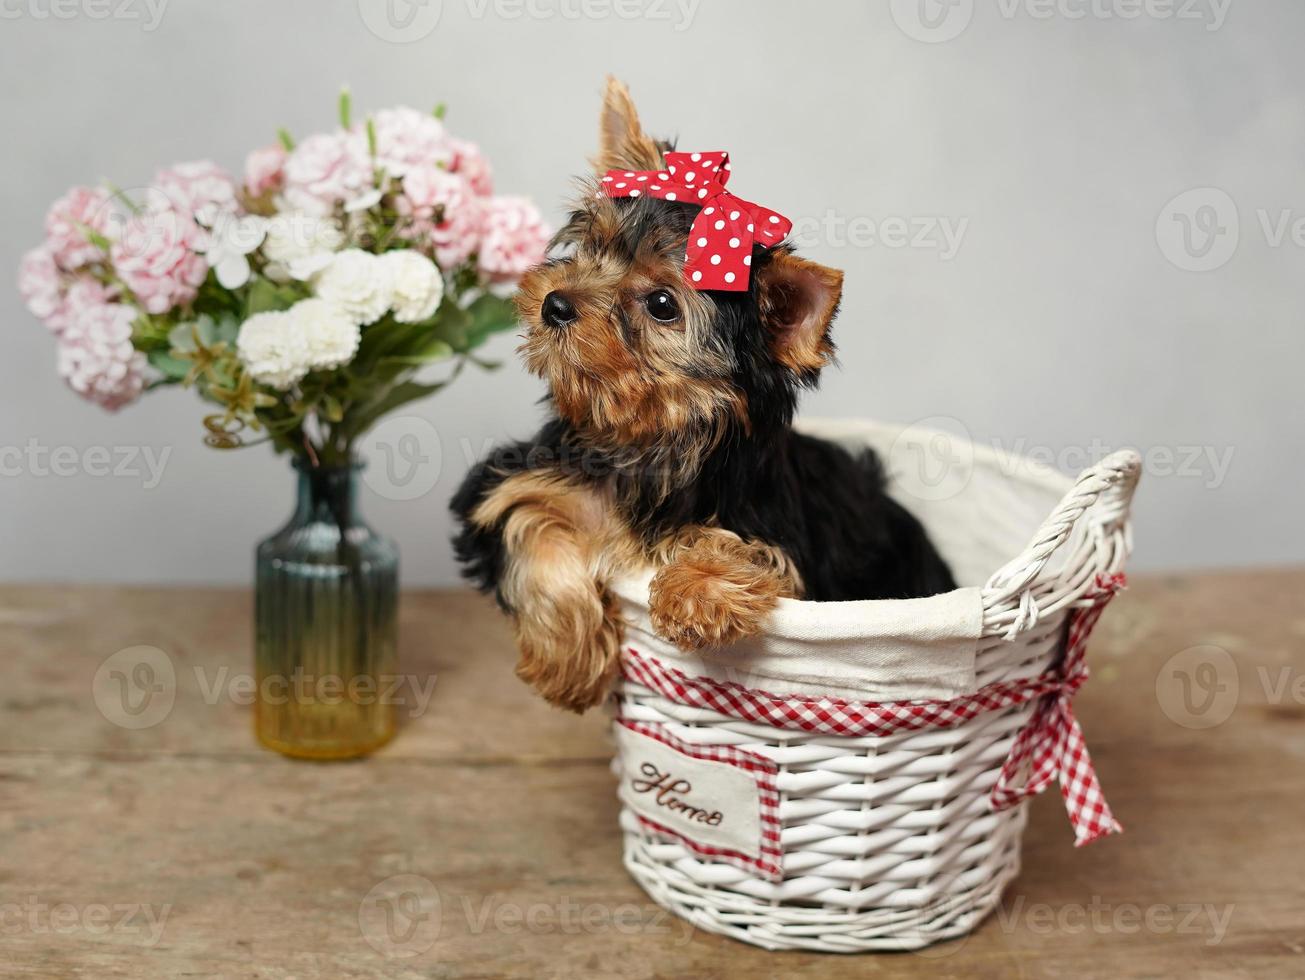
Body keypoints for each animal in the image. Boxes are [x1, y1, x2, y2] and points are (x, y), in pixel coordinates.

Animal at [454, 80, 955, 709]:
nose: (555, 303)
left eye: (662, 304)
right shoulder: (514, 483)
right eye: (593, 246)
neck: (645, 439)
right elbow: (529, 525)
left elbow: (743, 546)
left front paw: (699, 591)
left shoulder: (781, 533)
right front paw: (569, 663)